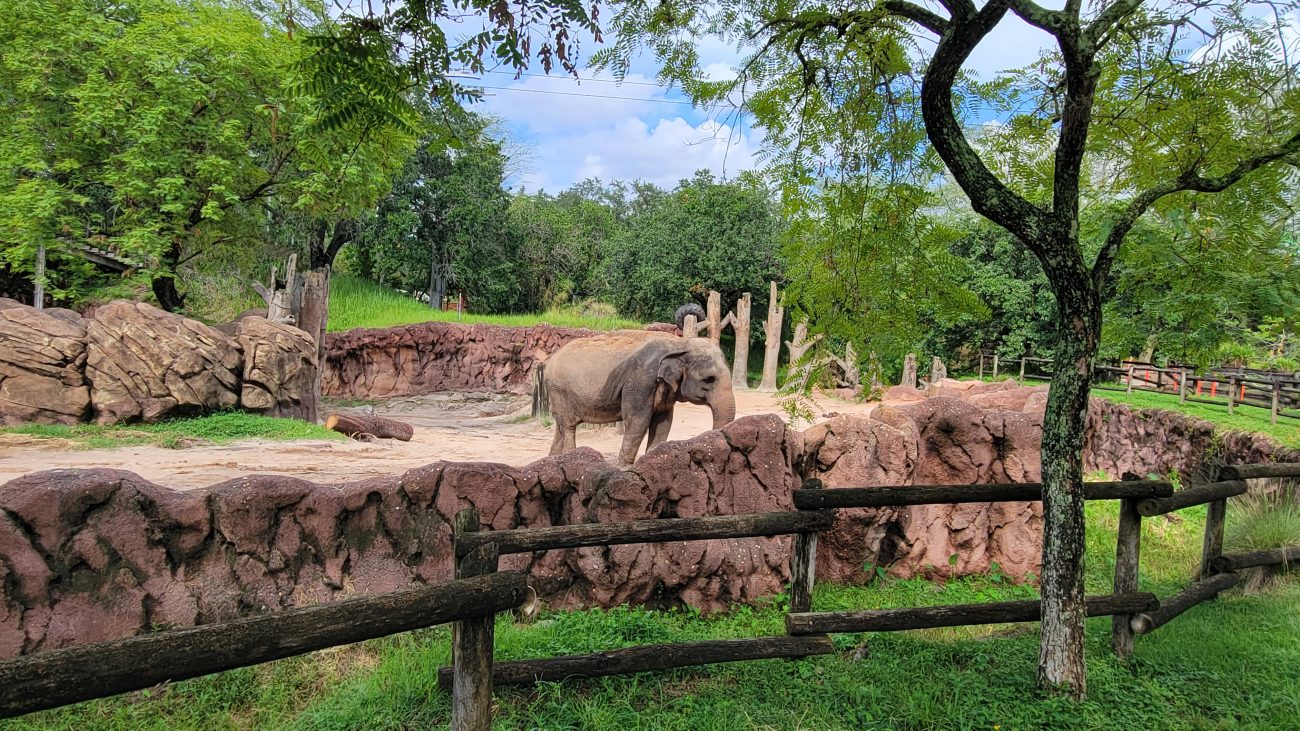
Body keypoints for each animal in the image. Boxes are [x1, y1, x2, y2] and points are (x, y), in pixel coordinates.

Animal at [544, 331, 737, 465]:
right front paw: (624, 467)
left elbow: (663, 422)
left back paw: (552, 460)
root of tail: (548, 363)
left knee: (560, 426)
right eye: (708, 379)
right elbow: (638, 420)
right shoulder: (641, 381)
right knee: (568, 425)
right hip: (560, 390)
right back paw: (570, 458)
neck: (679, 343)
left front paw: (655, 458)